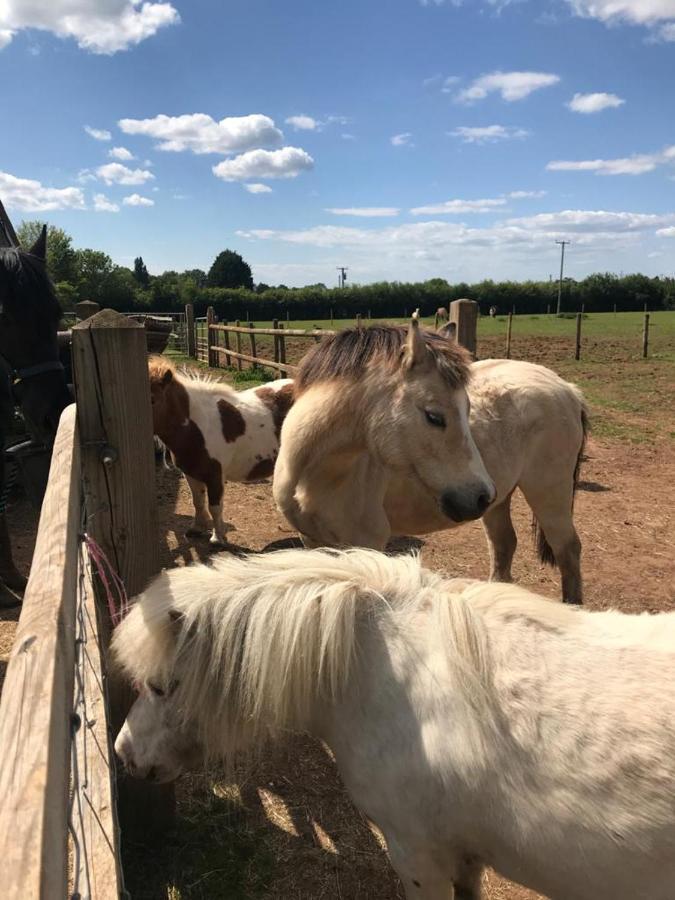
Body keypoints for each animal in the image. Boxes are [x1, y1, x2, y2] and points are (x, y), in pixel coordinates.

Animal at [149, 356, 292, 540]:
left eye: (152, 399)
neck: (197, 426)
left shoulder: (215, 475)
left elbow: (215, 507)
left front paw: (217, 537)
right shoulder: (190, 473)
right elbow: (198, 502)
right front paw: (197, 528)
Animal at [272, 324, 588, 604]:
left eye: (467, 409)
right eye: (434, 416)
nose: (479, 495)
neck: (317, 475)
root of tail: (568, 388)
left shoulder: (367, 544)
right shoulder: (311, 541)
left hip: (547, 494)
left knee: (567, 550)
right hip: (500, 501)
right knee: (504, 544)